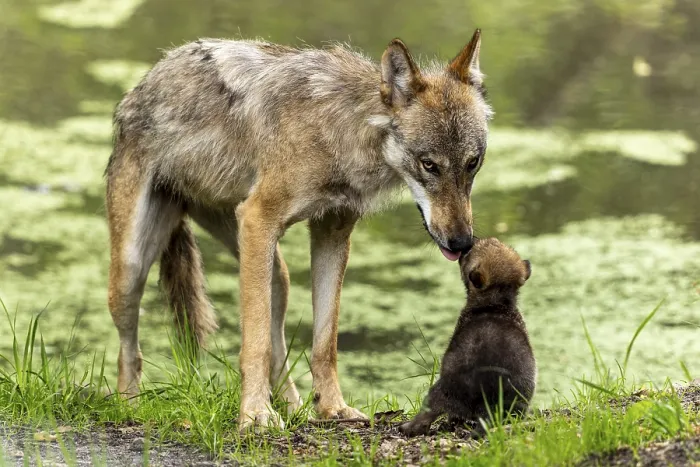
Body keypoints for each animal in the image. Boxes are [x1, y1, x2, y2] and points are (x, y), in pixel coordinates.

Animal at [105, 29, 491, 432]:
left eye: (473, 163)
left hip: (273, 271)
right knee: (130, 352)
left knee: (279, 342)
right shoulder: (257, 218)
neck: (341, 129)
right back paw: (129, 405)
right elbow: (255, 344)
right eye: (429, 165)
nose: (462, 242)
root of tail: (143, 85)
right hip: (132, 271)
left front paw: (333, 408)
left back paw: (295, 409)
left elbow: (324, 343)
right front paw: (255, 416)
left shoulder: (332, 234)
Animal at [399, 237, 536, 437]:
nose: (471, 242)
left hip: (438, 392)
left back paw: (409, 427)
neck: (494, 305)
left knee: (426, 416)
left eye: (471, 252)